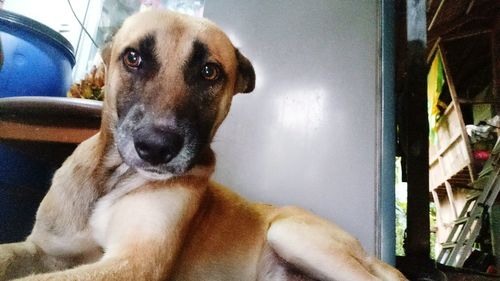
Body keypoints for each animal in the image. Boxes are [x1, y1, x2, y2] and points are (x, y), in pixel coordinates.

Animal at [0, 9, 408, 280]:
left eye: (209, 71)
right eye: (133, 58)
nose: (156, 147)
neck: (113, 179)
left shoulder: (133, 263)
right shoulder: (43, 248)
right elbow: (9, 255)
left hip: (291, 233)